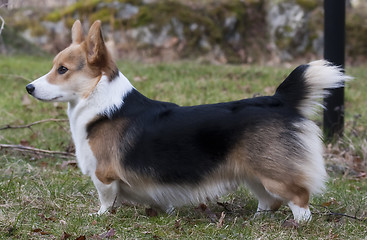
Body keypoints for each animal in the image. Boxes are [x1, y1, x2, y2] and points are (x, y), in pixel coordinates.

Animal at [26, 19, 350, 222]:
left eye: (63, 69)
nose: (29, 87)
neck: (101, 100)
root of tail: (280, 100)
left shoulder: (104, 175)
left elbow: (106, 200)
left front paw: (100, 217)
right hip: (252, 174)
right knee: (269, 201)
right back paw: (255, 221)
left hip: (273, 173)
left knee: (299, 198)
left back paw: (298, 224)